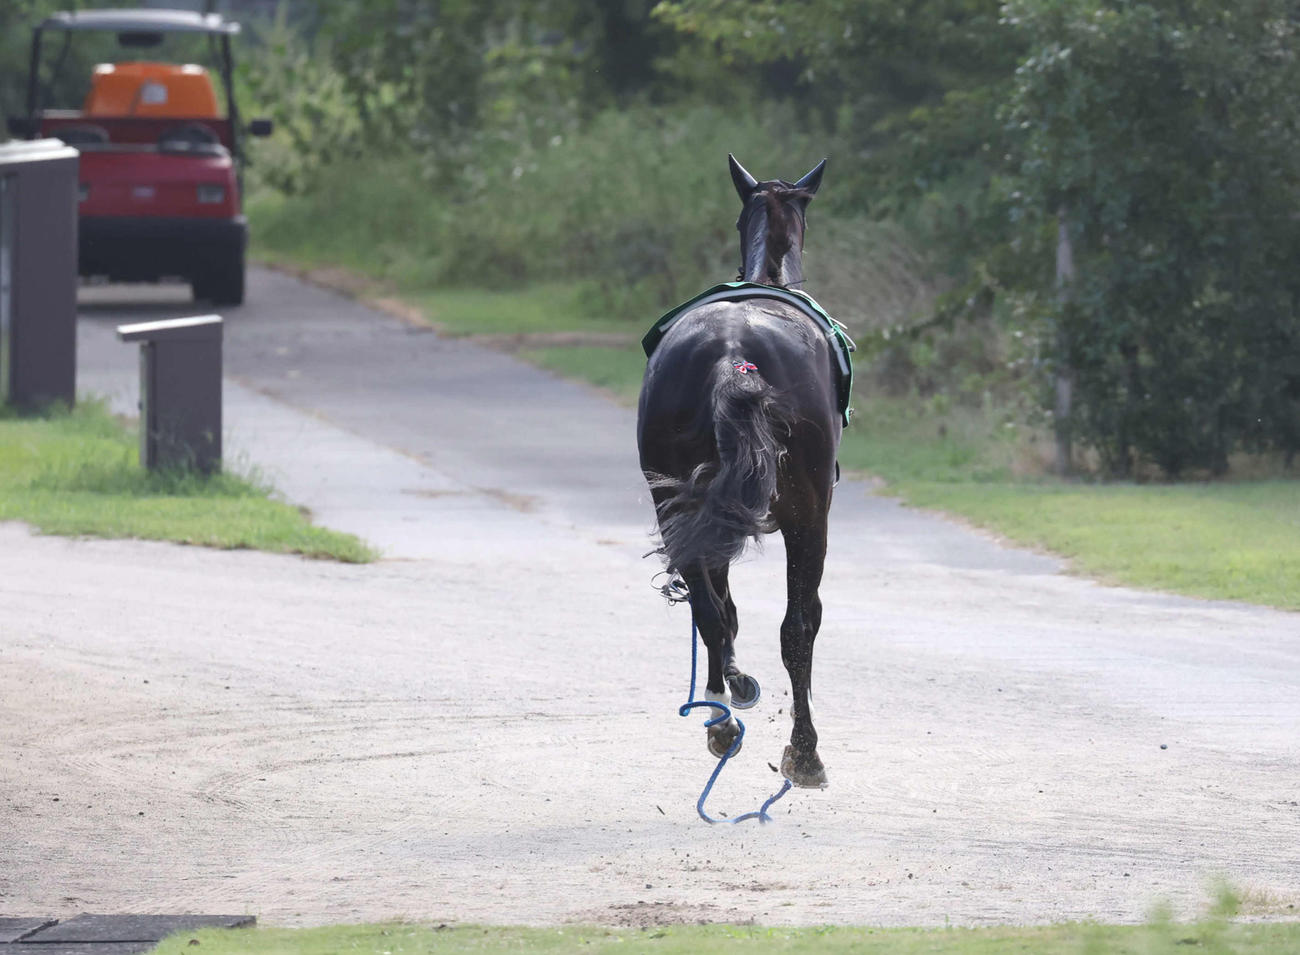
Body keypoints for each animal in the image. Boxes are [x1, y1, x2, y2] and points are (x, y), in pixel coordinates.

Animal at [639, 153, 842, 789]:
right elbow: (798, 621)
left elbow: (720, 608)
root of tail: (732, 356)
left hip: (678, 504)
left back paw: (724, 716)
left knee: (710, 610)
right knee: (796, 626)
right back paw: (804, 751)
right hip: (807, 517)